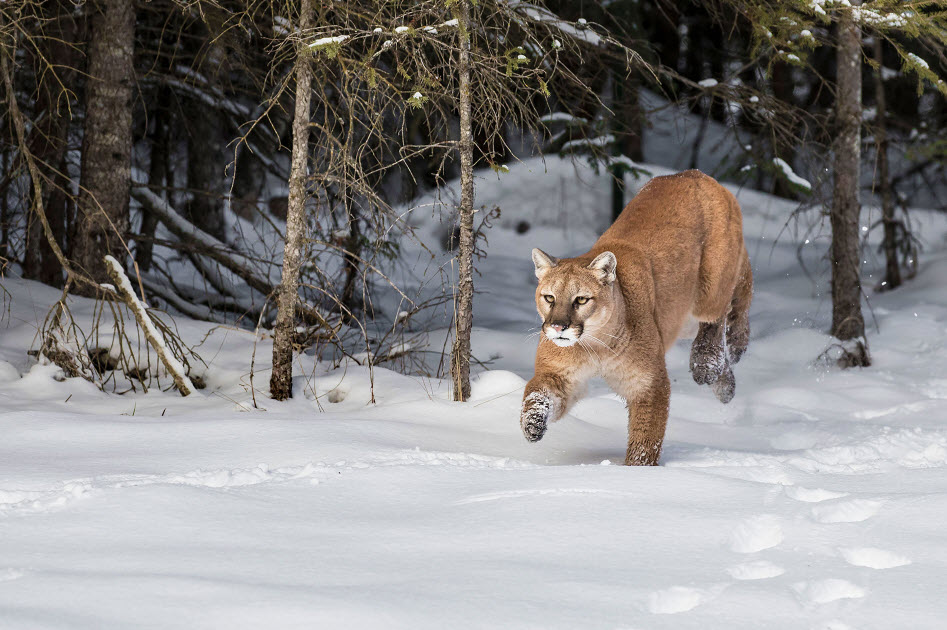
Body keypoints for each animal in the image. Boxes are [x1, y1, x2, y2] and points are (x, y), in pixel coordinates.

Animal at [524, 170, 752, 466]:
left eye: (581, 300)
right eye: (549, 297)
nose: (557, 326)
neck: (596, 345)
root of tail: (695, 173)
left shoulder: (648, 384)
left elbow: (645, 438)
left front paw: (636, 471)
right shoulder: (559, 376)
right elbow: (536, 393)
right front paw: (532, 423)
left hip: (710, 287)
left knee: (725, 306)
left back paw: (710, 361)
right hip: (681, 318)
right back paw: (726, 385)